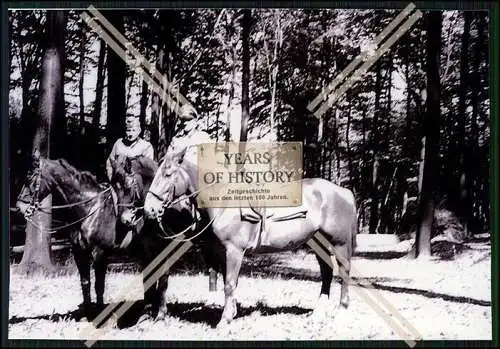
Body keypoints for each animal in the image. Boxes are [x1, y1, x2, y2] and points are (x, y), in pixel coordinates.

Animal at [15, 156, 134, 316]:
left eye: (30, 179)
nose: (19, 207)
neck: (90, 209)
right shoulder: (79, 252)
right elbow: (85, 282)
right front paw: (87, 313)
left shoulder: (100, 253)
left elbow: (99, 285)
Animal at [112, 155, 224, 320]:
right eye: (113, 186)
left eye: (128, 185)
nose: (125, 220)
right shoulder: (146, 252)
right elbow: (148, 278)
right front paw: (147, 311)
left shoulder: (165, 250)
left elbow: (163, 278)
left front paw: (161, 313)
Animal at [143, 146, 358, 326]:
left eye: (168, 173)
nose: (149, 209)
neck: (224, 203)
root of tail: (344, 191)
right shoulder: (222, 252)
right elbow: (229, 282)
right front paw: (232, 312)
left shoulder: (234, 251)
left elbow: (229, 284)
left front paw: (225, 320)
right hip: (317, 242)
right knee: (327, 272)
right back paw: (319, 311)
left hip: (339, 243)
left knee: (344, 271)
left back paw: (342, 308)